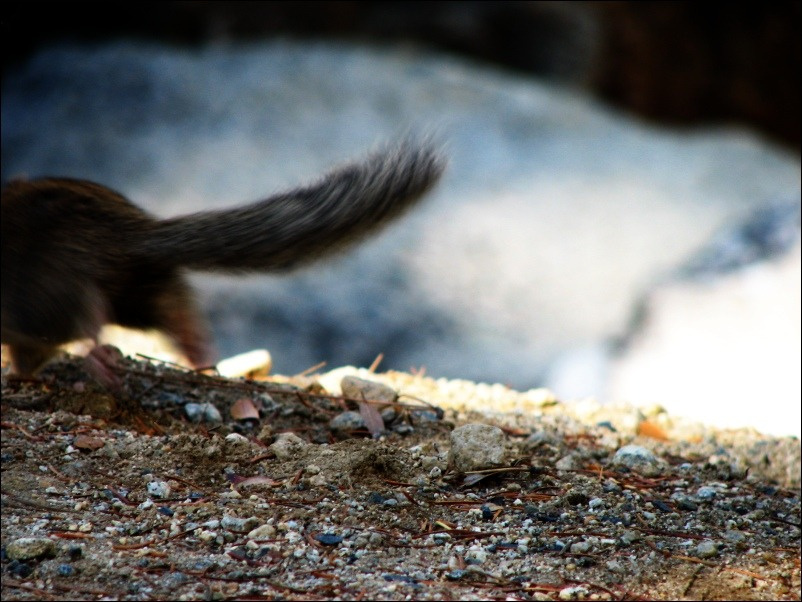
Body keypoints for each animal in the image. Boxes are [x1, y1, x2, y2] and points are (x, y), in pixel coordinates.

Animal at [1, 140, 445, 384]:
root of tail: (125, 230)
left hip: (49, 298)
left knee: (86, 320)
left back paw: (96, 360)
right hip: (139, 285)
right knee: (174, 307)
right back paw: (201, 357)